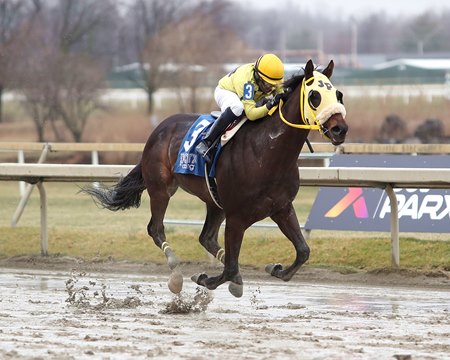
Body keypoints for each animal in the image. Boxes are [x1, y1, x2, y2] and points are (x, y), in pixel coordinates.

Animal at [81, 60, 348, 298]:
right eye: (314, 95)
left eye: (338, 94)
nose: (340, 129)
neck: (268, 152)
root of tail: (159, 129)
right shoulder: (237, 216)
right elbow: (229, 268)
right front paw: (207, 279)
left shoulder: (281, 207)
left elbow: (303, 251)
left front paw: (276, 269)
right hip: (161, 189)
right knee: (156, 229)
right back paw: (176, 273)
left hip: (214, 200)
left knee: (206, 238)